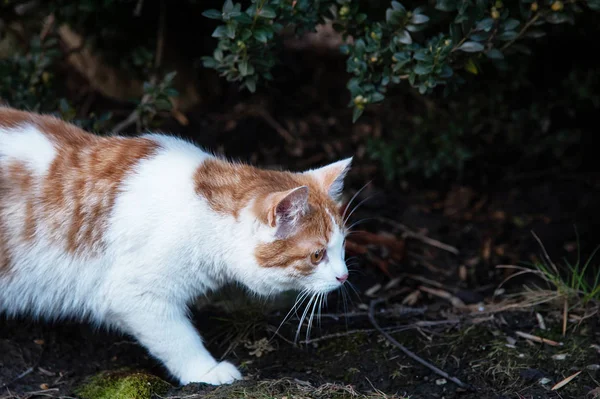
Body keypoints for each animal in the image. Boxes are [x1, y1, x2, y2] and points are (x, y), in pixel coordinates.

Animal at [0, 107, 354, 388]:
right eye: (317, 255)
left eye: (342, 246)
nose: (344, 276)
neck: (203, 213)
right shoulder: (135, 295)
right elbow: (178, 337)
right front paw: (206, 370)